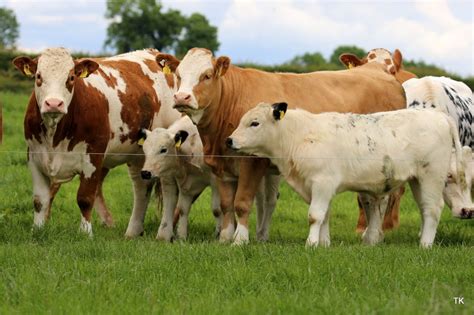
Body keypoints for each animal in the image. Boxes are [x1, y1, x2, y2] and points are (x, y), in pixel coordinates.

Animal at [12, 47, 181, 237]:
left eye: (71, 77)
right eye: (38, 76)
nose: (54, 103)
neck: (55, 135)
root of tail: (153, 52)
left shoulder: (93, 156)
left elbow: (85, 198)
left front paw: (85, 233)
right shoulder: (34, 157)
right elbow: (40, 200)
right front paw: (38, 229)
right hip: (136, 155)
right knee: (141, 187)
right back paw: (132, 230)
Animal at [156, 48, 408, 247]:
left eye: (206, 75)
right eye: (178, 75)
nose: (181, 97)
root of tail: (378, 71)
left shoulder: (252, 163)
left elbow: (242, 204)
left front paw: (240, 240)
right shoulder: (223, 169)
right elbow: (226, 205)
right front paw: (226, 237)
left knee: (379, 200)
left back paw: (373, 236)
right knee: (368, 198)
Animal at [228, 102, 464, 248]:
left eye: (255, 123)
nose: (229, 140)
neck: (299, 136)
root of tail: (438, 115)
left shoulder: (322, 183)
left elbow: (315, 215)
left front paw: (310, 243)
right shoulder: (320, 188)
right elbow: (324, 216)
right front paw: (323, 244)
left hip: (431, 176)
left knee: (432, 209)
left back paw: (425, 244)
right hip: (417, 180)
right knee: (425, 209)